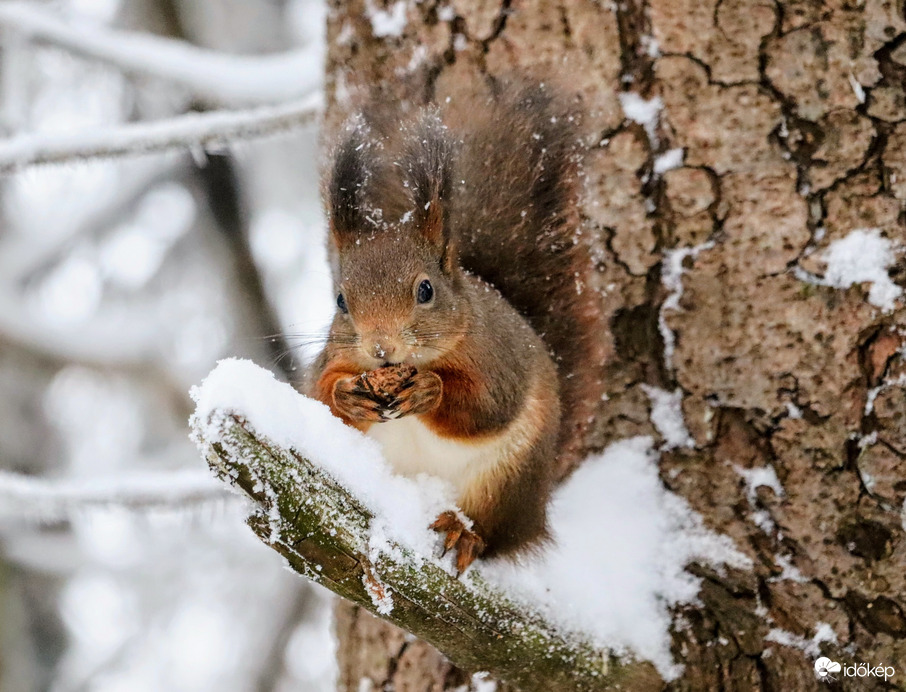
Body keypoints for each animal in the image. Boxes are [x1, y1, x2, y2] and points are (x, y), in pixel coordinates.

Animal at [308, 81, 604, 572]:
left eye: (425, 290)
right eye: (340, 301)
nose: (381, 349)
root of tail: (537, 506)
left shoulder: (498, 359)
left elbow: (486, 408)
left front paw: (431, 389)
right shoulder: (331, 358)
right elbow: (317, 394)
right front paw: (347, 394)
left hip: (506, 480)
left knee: (495, 535)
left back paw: (463, 532)